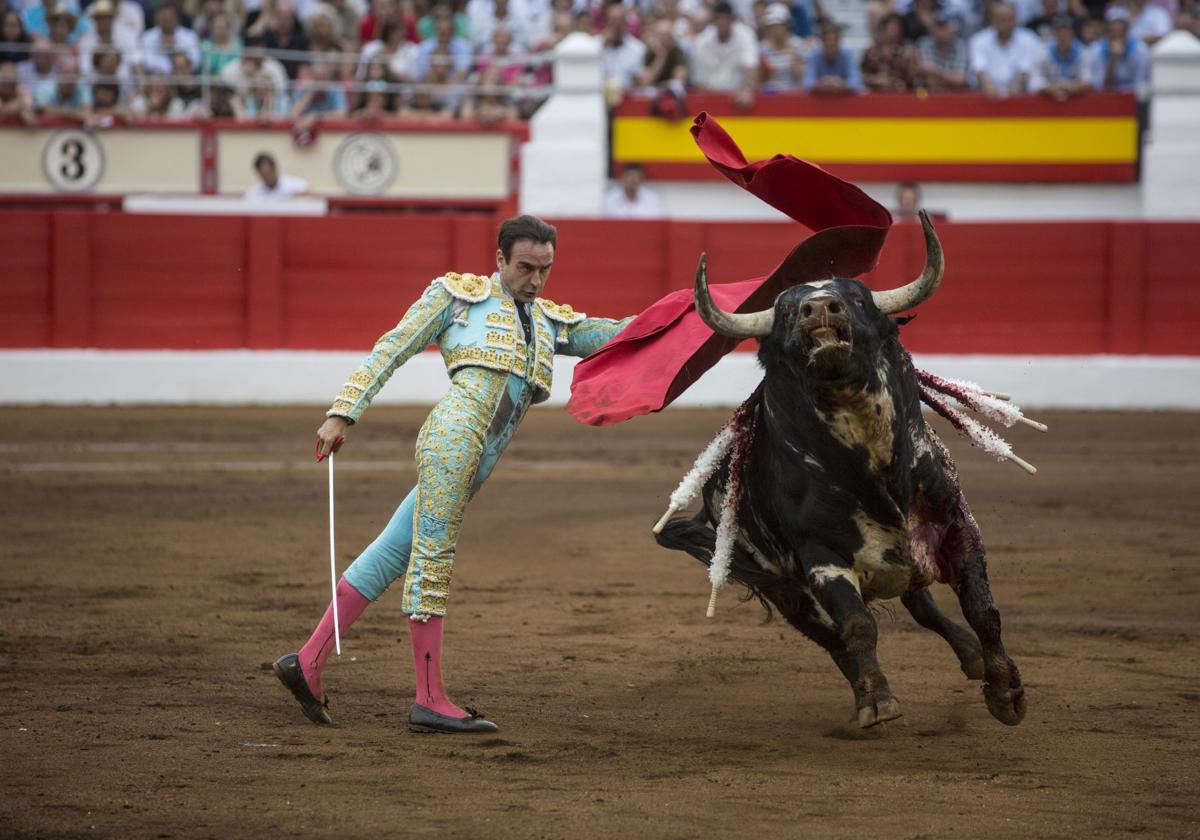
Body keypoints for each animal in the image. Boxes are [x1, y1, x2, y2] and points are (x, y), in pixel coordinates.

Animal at [652, 214, 1027, 729]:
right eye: (787, 312)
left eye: (856, 299)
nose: (819, 308)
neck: (870, 462)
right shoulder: (822, 558)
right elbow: (856, 627)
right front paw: (875, 701)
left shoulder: (956, 526)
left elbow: (982, 608)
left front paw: (1006, 692)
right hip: (780, 584)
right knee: (831, 637)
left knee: (921, 604)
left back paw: (971, 658)